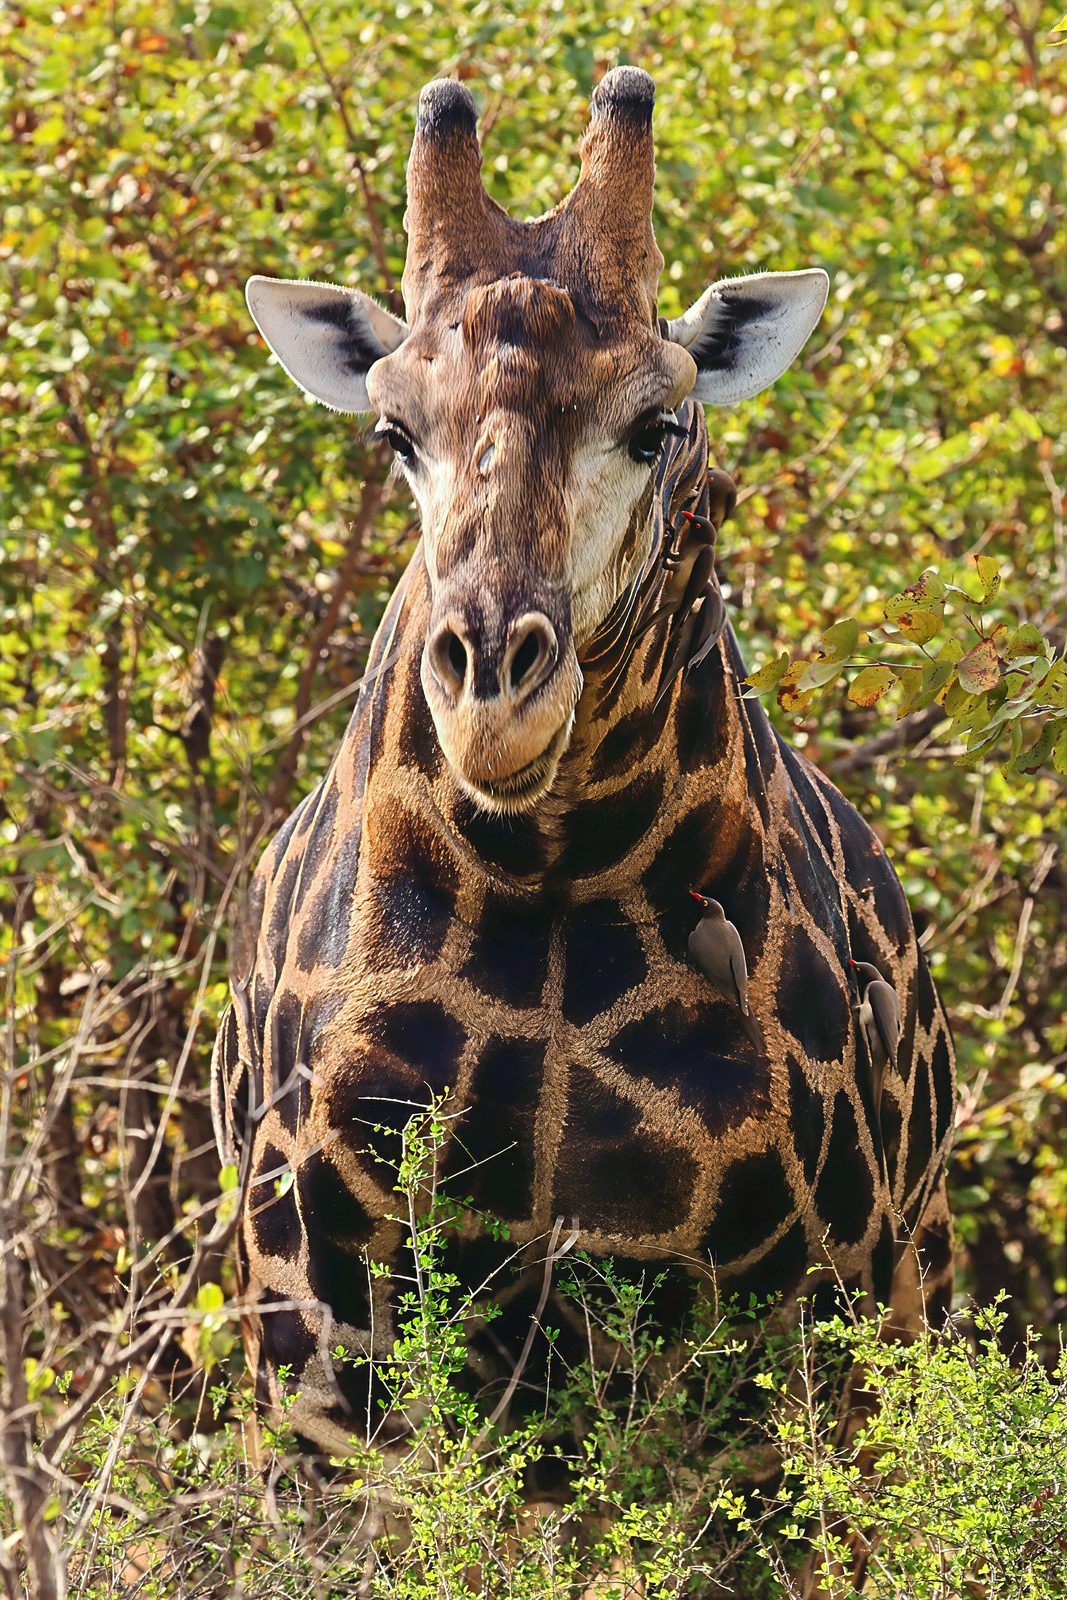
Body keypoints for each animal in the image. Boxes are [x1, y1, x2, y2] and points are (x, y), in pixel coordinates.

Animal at [211, 69, 956, 1468]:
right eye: (393, 432)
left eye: (655, 425)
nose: (494, 701)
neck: (551, 873)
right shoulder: (317, 1359)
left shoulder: (760, 1352)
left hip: (908, 1300)